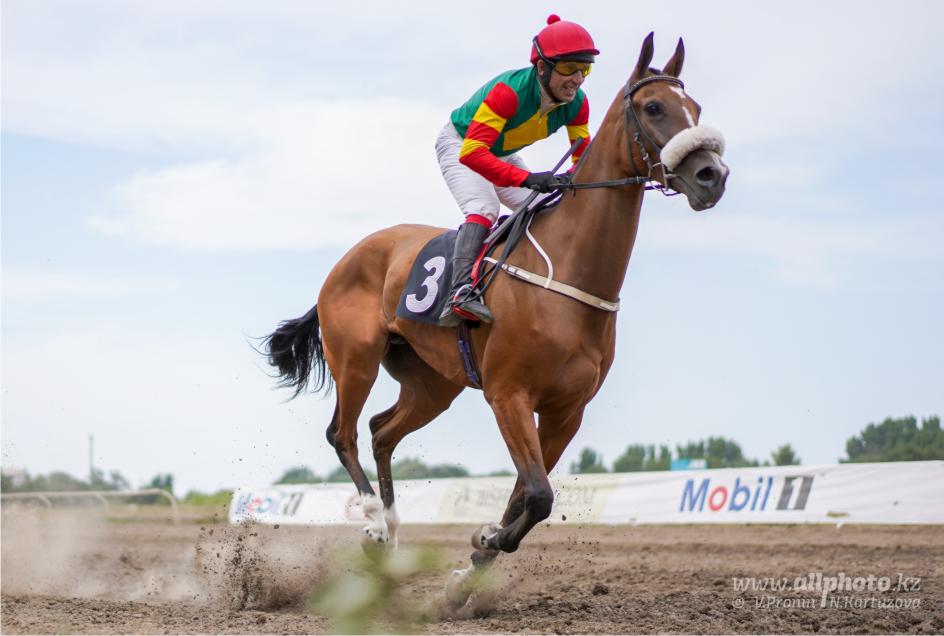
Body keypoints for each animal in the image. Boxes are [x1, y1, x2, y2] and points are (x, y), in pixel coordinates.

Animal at [263, 32, 728, 605]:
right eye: (654, 107)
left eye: (696, 109)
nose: (712, 175)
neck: (571, 275)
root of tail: (348, 258)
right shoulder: (508, 395)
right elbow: (539, 494)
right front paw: (482, 541)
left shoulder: (566, 412)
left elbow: (527, 496)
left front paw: (467, 574)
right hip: (357, 360)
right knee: (342, 433)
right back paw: (373, 524)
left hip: (433, 384)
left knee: (381, 433)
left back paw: (392, 532)